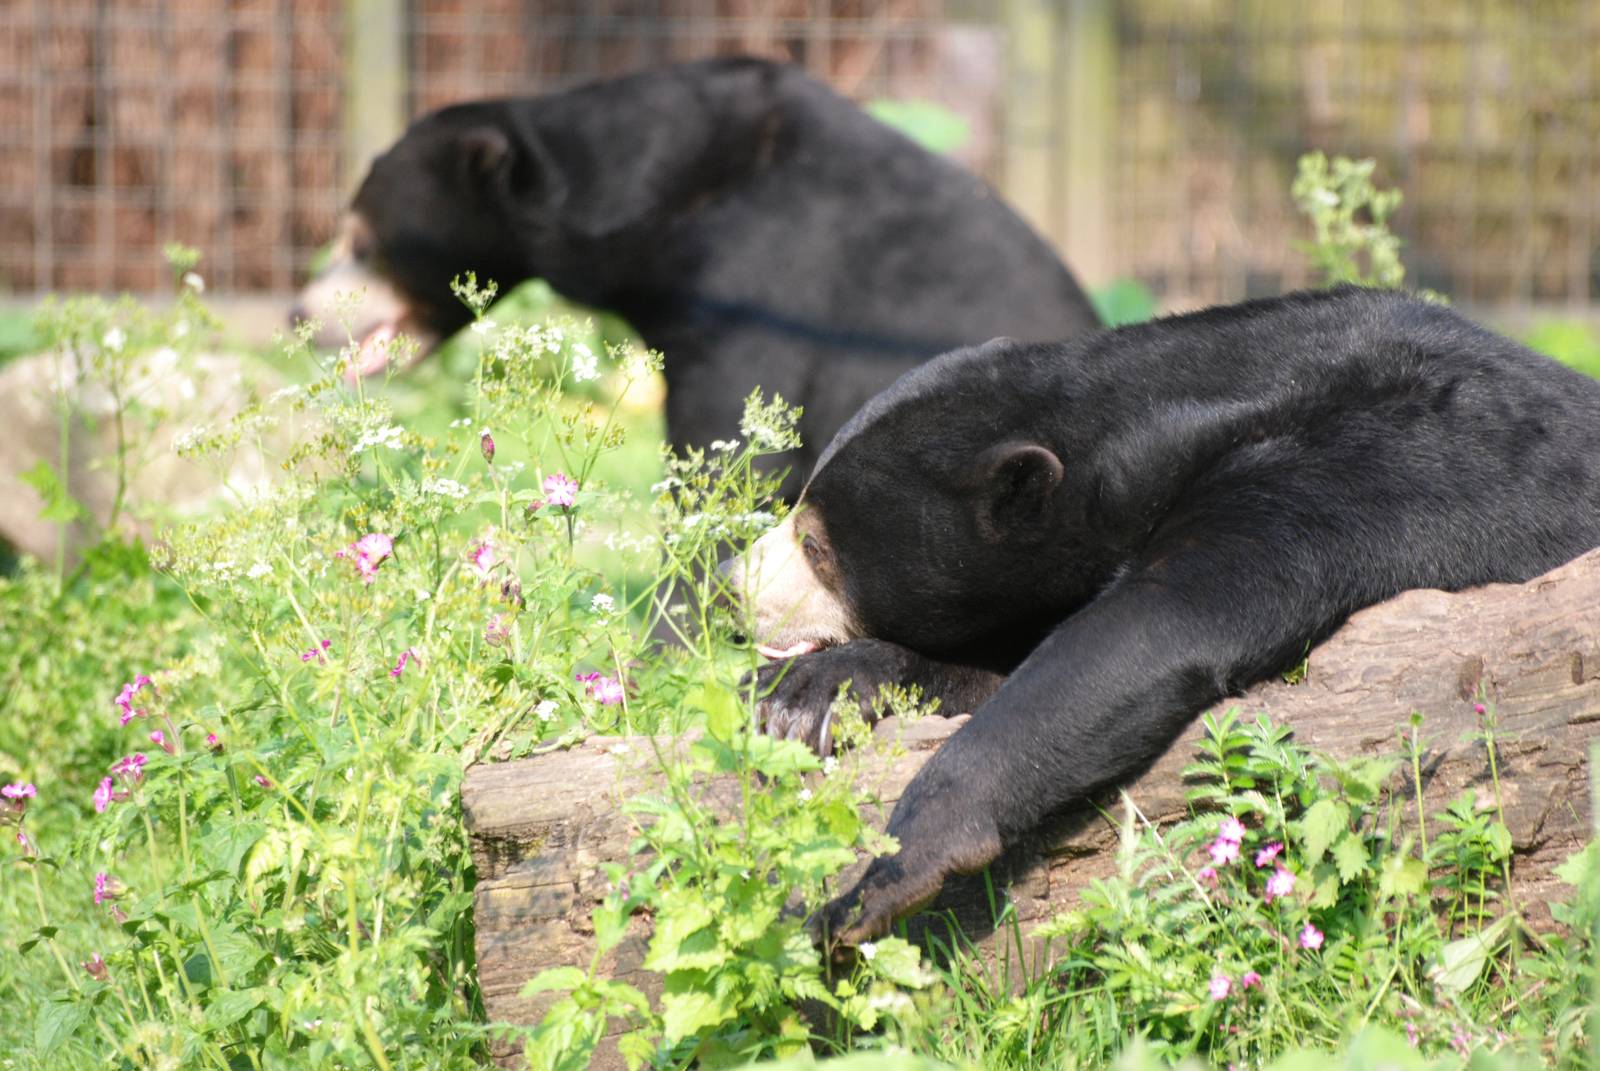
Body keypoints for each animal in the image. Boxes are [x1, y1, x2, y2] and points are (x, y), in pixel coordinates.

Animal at [723, 285, 1600, 945]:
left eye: (815, 542)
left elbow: (1149, 632)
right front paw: (802, 695)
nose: (732, 582)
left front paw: (870, 887)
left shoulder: (1364, 469)